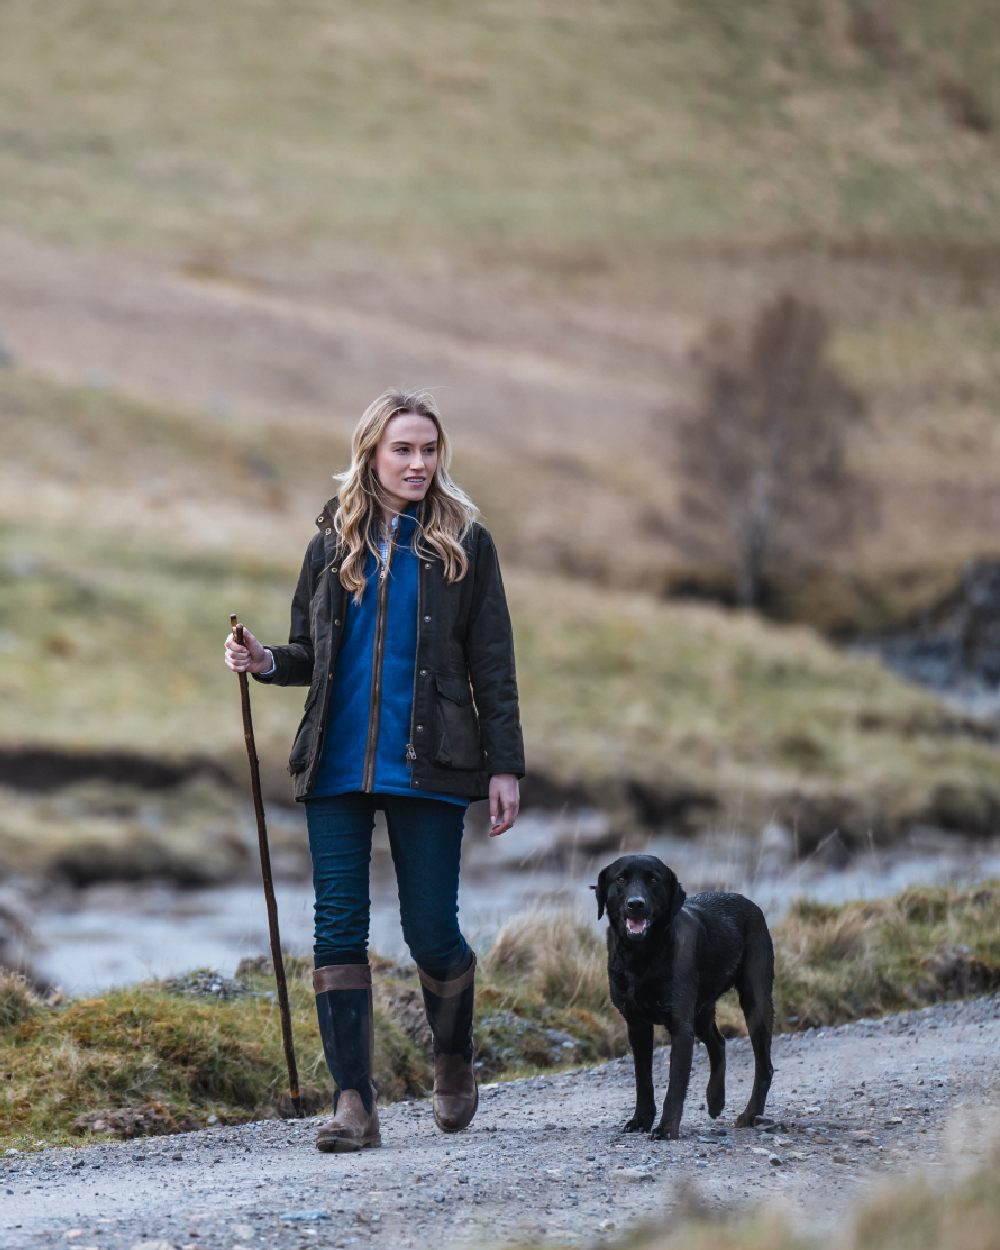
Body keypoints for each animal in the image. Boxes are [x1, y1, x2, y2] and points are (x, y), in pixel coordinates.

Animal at [595, 855, 775, 1140]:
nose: (636, 904)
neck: (642, 957)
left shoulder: (680, 1025)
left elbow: (676, 1084)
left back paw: (749, 1115)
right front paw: (641, 1120)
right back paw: (715, 1100)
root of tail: (749, 903)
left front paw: (666, 1128)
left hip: (755, 1002)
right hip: (701, 1012)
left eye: (653, 879)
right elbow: (643, 1080)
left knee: (763, 1066)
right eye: (620, 878)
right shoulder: (637, 1025)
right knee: (719, 1043)